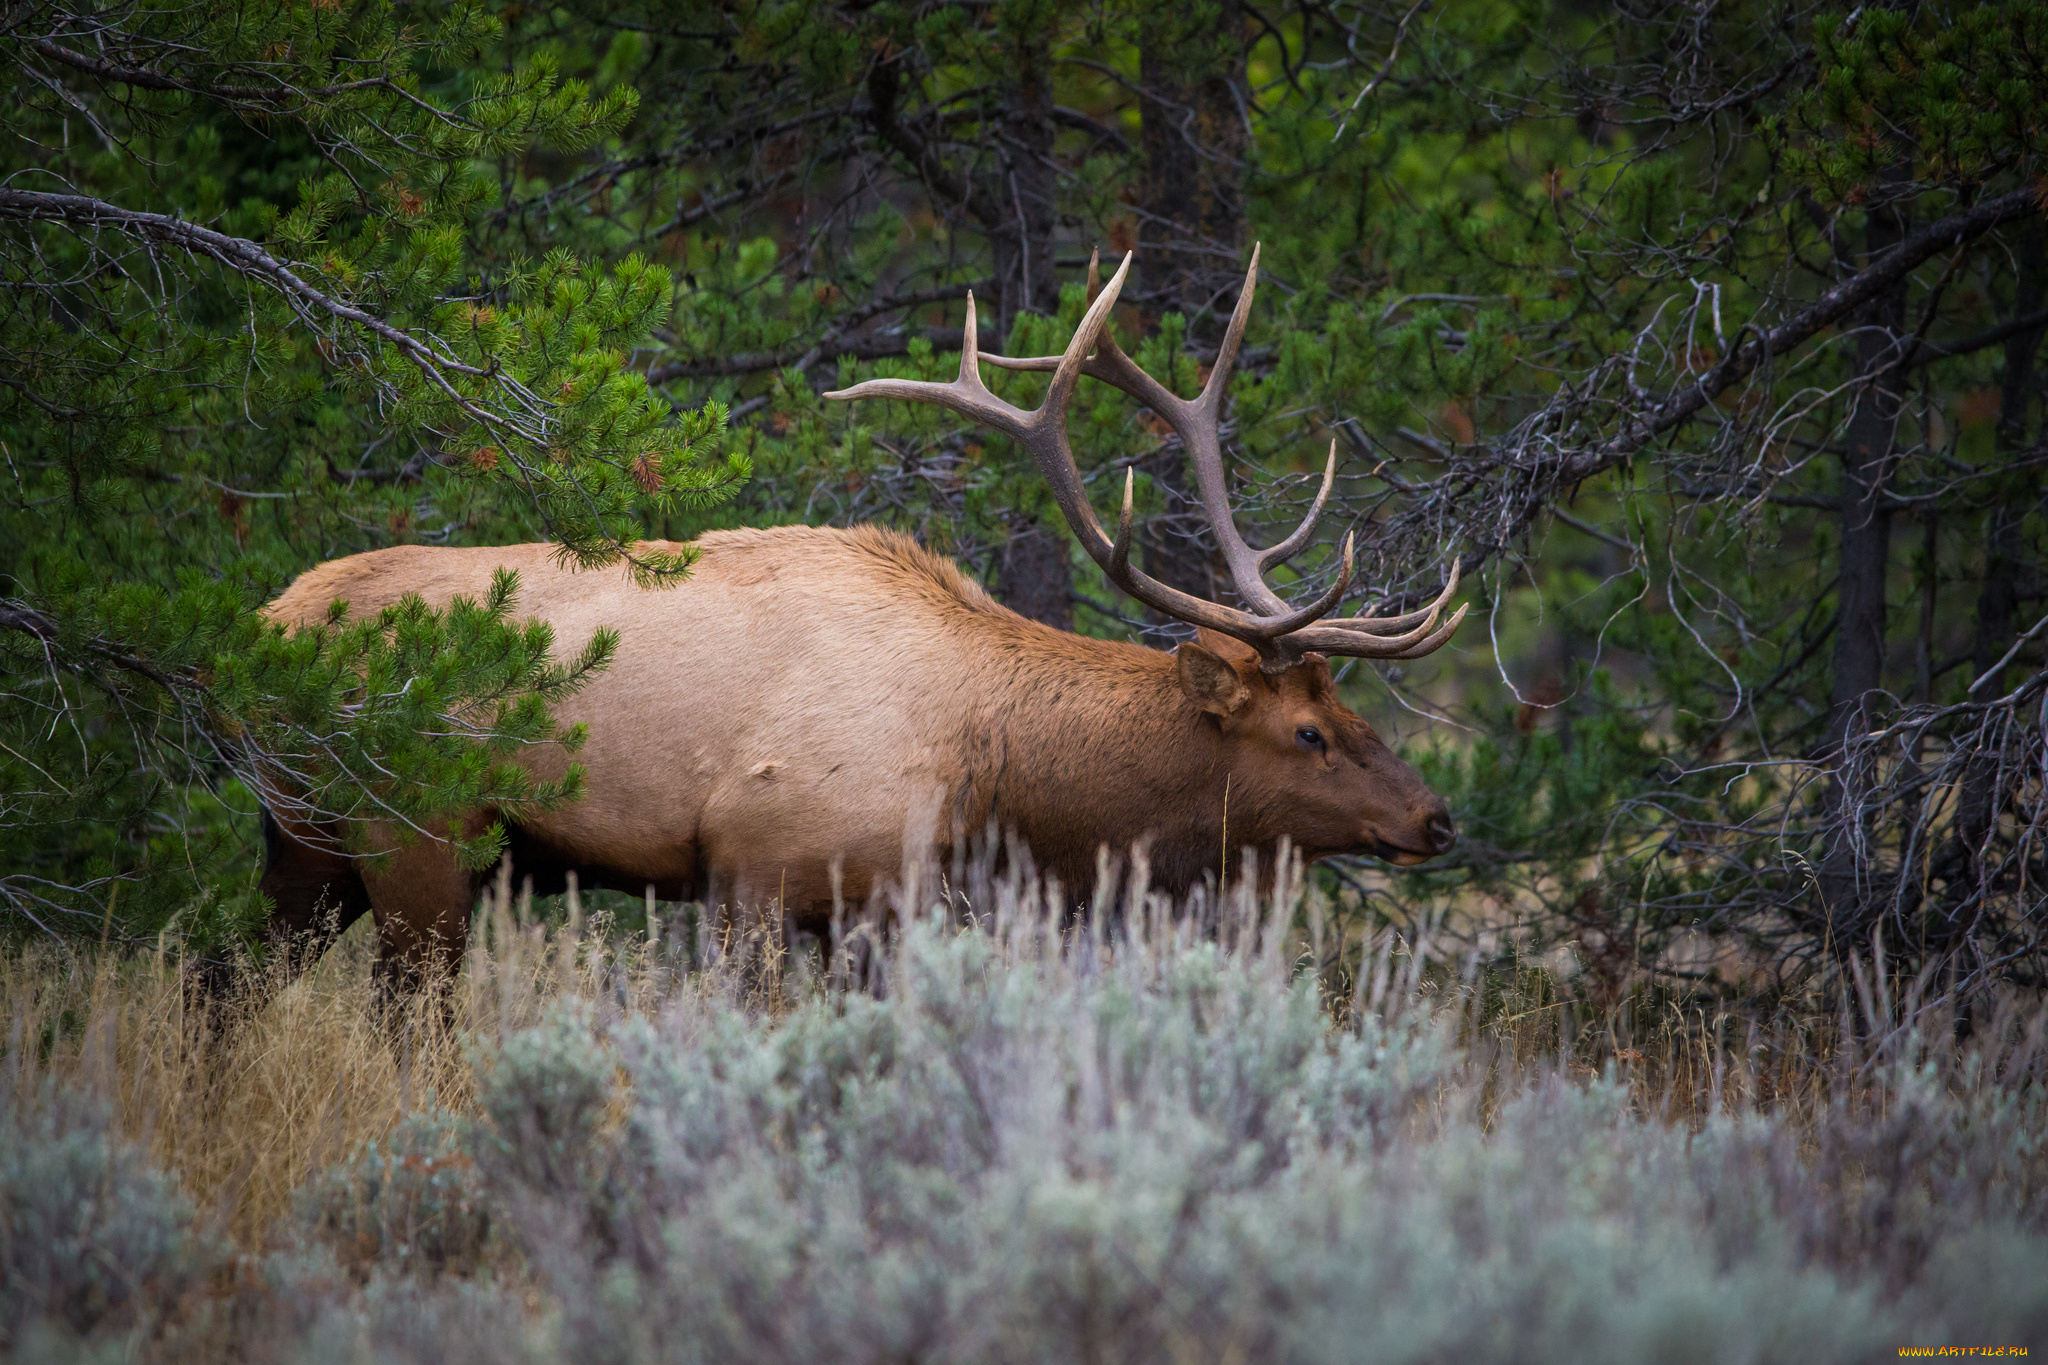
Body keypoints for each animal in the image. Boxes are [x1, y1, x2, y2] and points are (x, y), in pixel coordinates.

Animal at [251, 248, 1474, 994]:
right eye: (1308, 732)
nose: (1436, 817)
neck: (992, 771)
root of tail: (269, 622)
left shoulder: (887, 905)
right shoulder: (753, 867)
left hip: (304, 841)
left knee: (236, 985)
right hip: (413, 835)